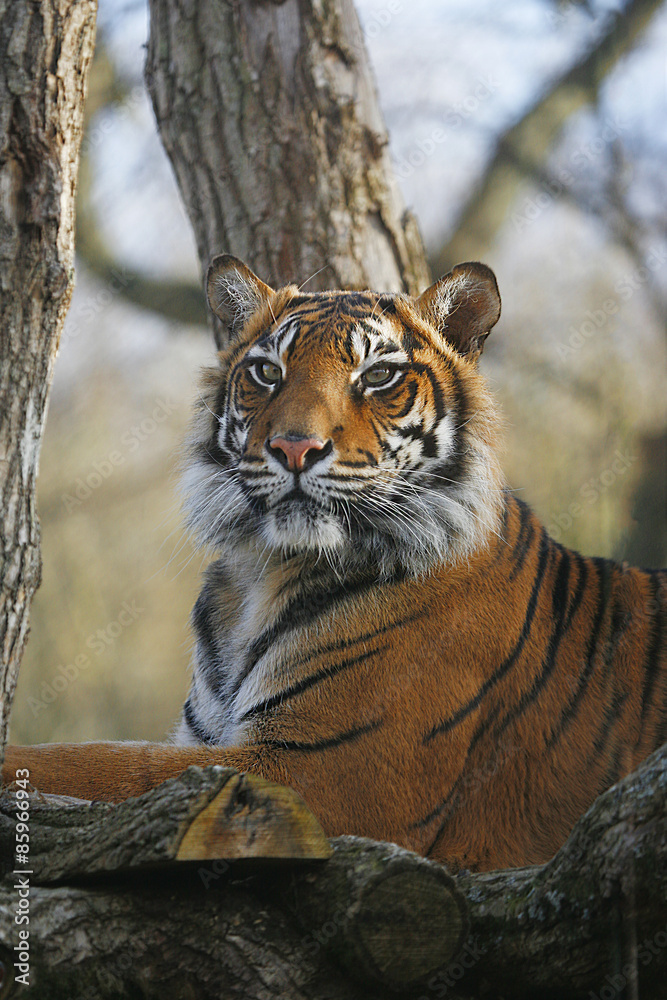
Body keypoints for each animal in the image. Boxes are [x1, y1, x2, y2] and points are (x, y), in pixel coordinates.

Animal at [4, 255, 666, 872]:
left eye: (378, 376)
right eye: (268, 372)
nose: (294, 447)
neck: (265, 570)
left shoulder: (325, 773)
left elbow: (103, 763)